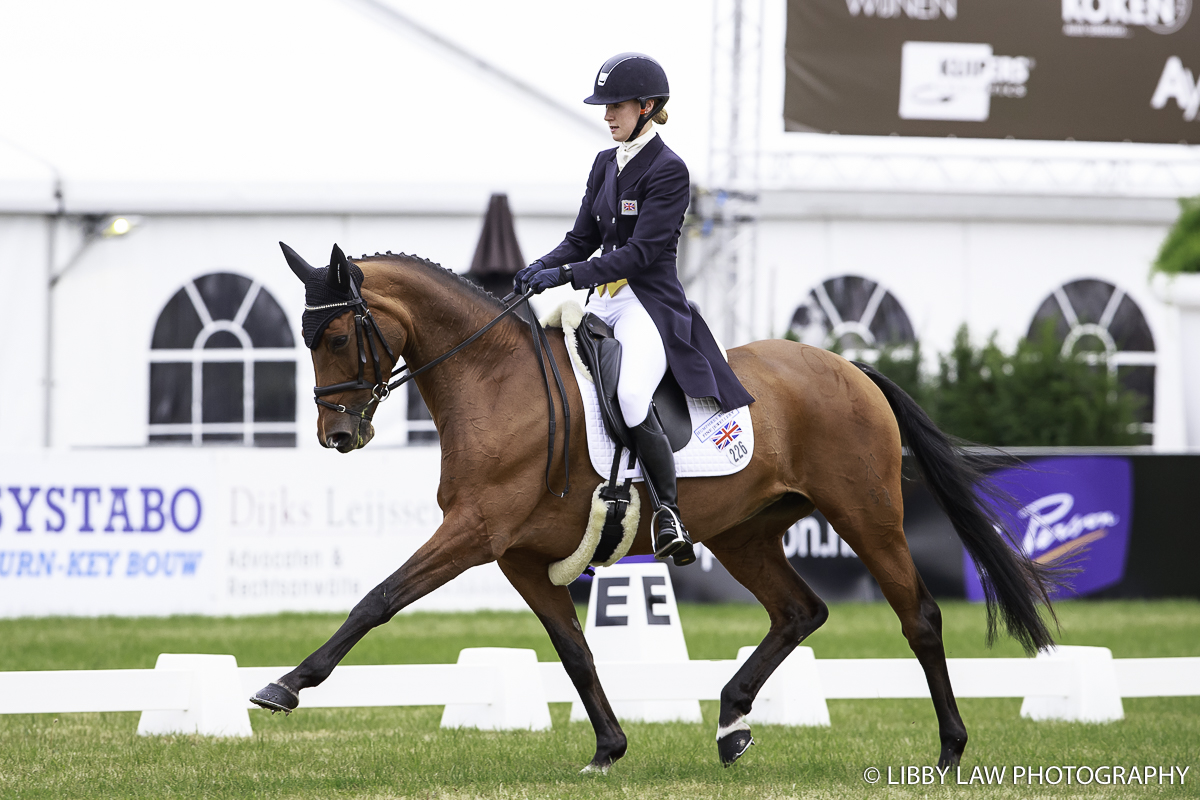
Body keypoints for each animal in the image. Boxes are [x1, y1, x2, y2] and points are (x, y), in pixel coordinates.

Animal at [248, 247, 1056, 772]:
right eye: (304, 338)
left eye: (339, 335)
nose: (338, 435)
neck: (494, 379)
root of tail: (849, 367)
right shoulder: (520, 557)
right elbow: (574, 651)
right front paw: (609, 749)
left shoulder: (475, 532)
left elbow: (378, 599)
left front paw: (285, 684)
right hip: (745, 534)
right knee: (800, 612)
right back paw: (731, 723)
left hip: (867, 515)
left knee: (918, 615)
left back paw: (949, 750)